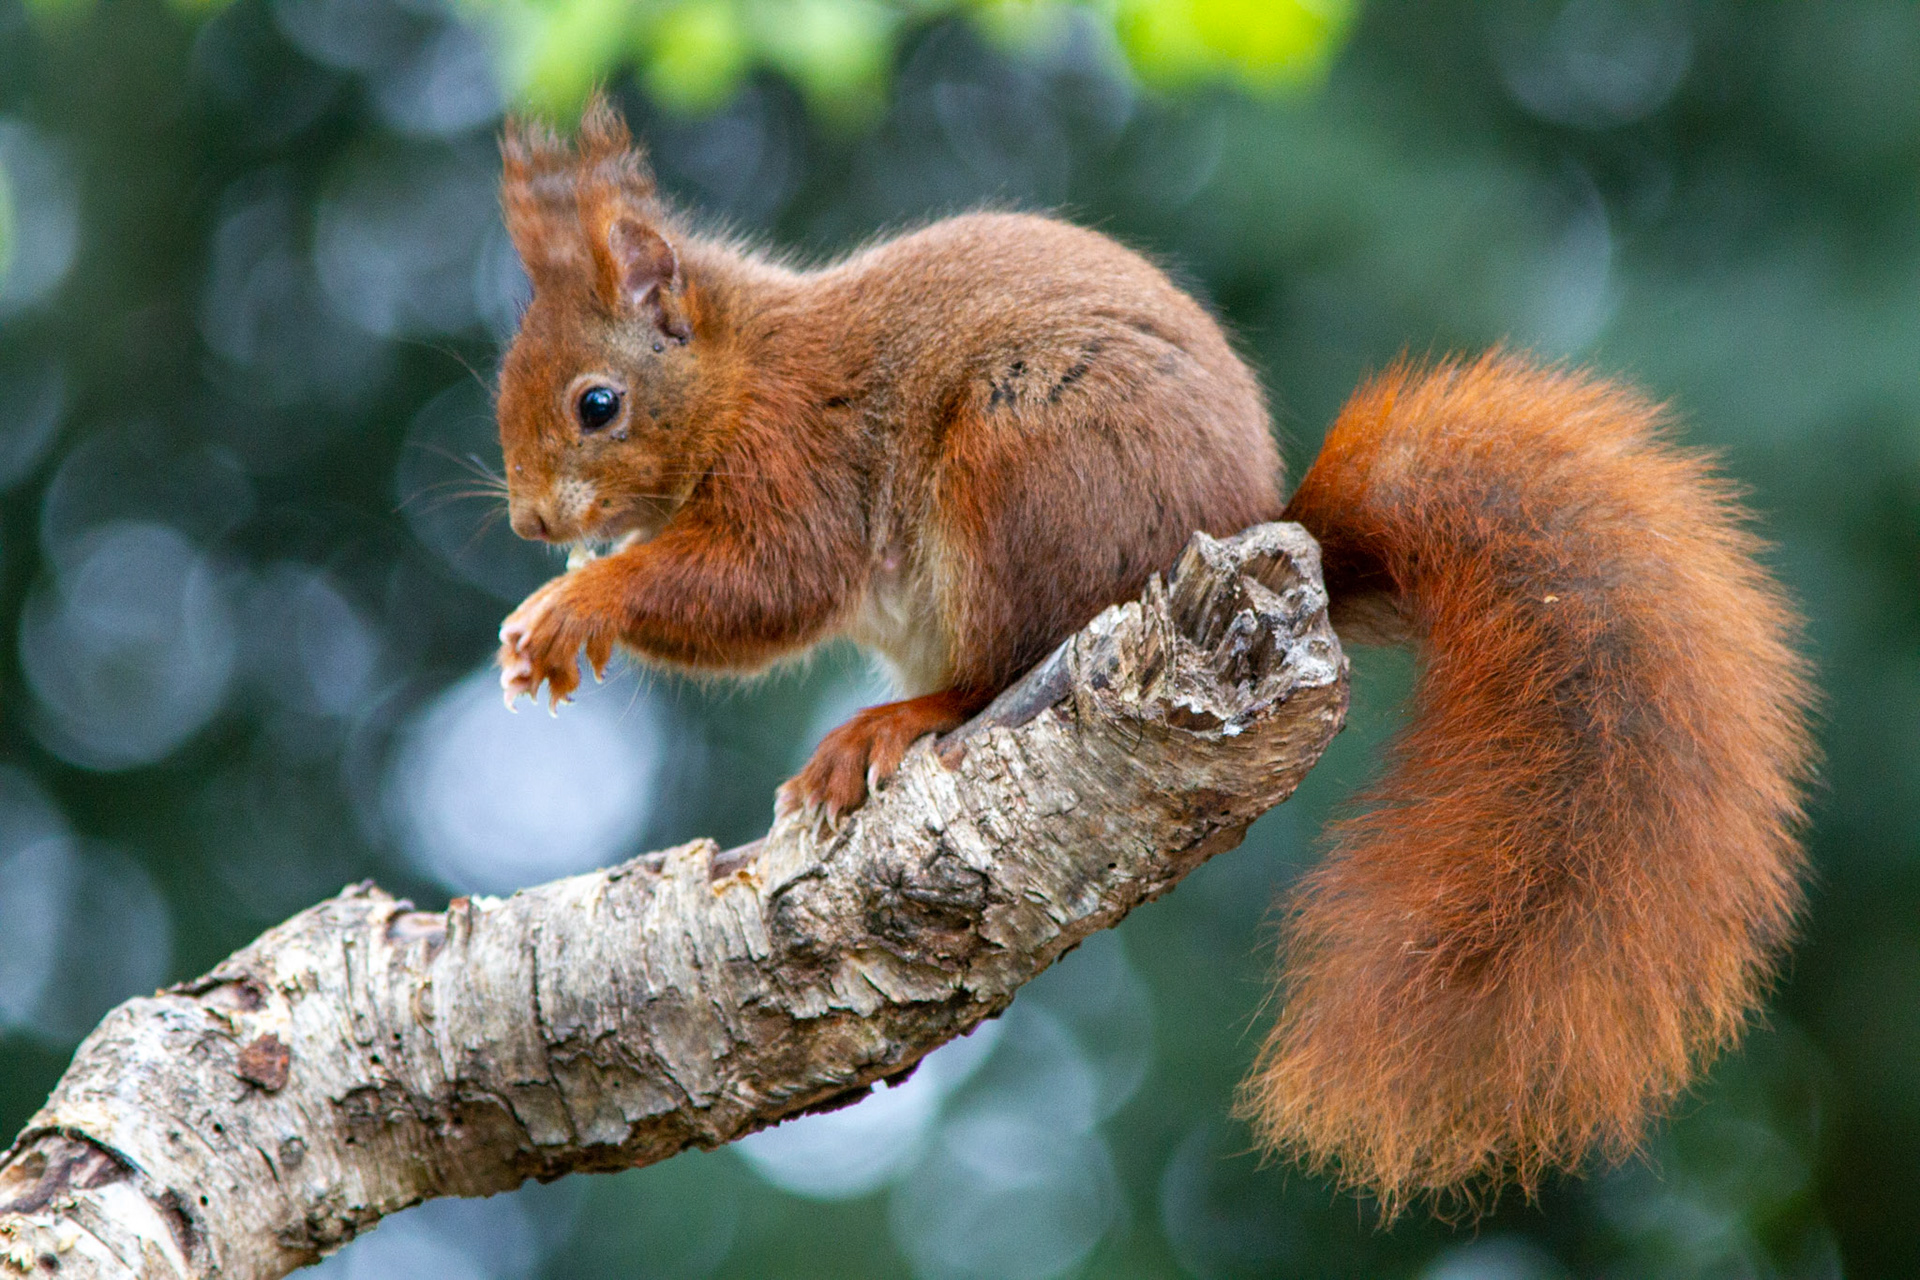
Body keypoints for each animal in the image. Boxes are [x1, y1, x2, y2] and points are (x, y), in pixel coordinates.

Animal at [491, 97, 1814, 1213]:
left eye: (598, 403)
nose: (532, 524)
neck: (738, 364)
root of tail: (1259, 530)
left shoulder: (799, 454)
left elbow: (766, 581)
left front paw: (574, 605)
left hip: (1021, 471)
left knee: (999, 665)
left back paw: (891, 725)